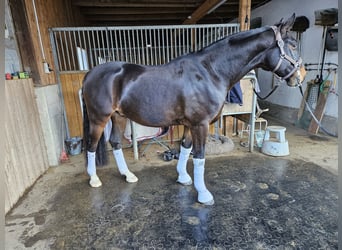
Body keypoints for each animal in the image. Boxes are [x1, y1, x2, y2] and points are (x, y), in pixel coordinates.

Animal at [83, 14, 308, 205]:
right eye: (293, 45)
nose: (301, 76)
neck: (210, 72)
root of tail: (90, 74)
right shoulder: (200, 124)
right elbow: (199, 157)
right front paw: (204, 194)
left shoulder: (190, 124)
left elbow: (185, 149)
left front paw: (183, 178)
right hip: (98, 118)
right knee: (91, 146)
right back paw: (94, 179)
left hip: (118, 116)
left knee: (115, 143)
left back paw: (128, 175)